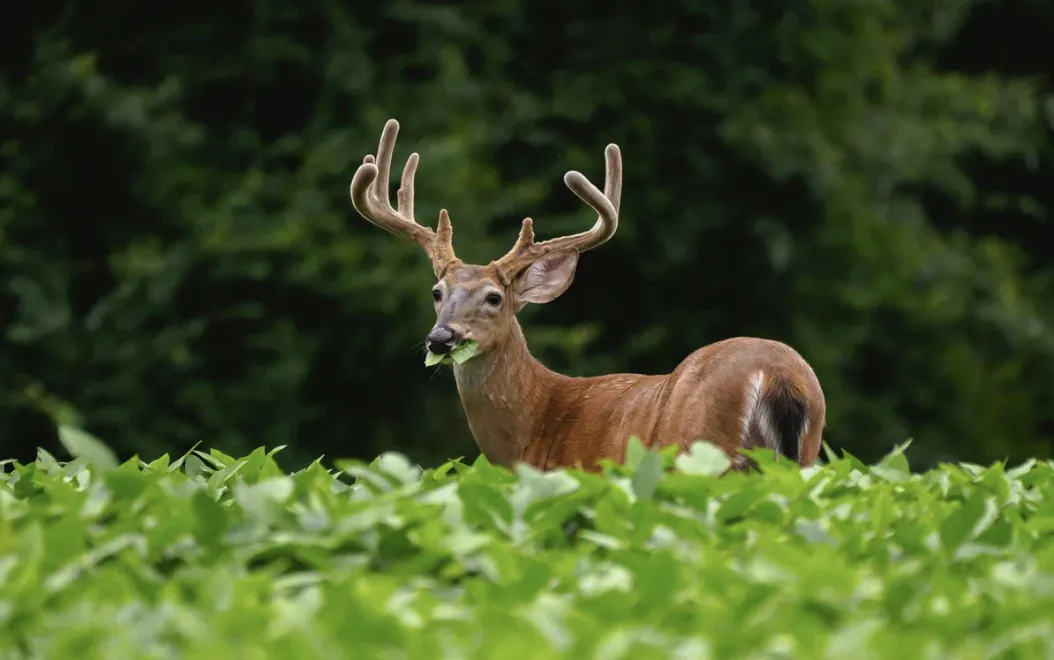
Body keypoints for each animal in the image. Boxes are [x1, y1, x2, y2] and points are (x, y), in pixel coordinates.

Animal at [349, 118, 826, 472]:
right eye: (437, 291)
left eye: (493, 298)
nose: (441, 338)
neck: (536, 427)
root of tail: (779, 375)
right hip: (804, 452)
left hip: (702, 452)